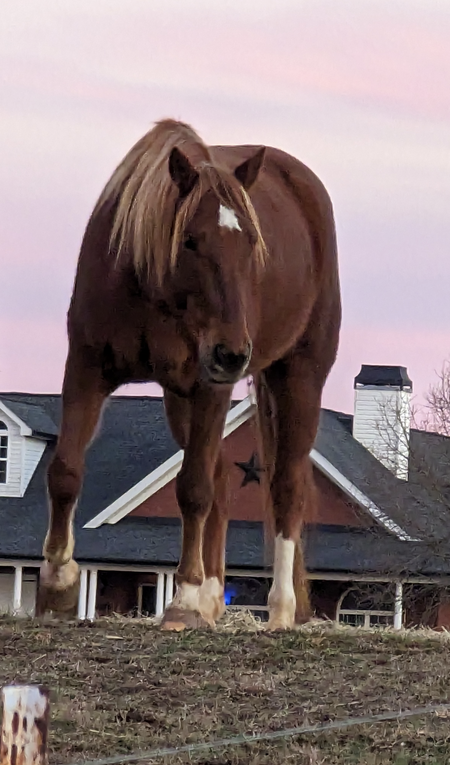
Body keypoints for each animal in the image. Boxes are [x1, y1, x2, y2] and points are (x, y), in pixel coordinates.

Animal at [37, 118, 342, 628]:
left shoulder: (209, 385)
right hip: (181, 396)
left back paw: (279, 609)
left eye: (251, 241)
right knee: (223, 479)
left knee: (285, 486)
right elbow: (64, 470)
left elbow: (194, 489)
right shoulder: (85, 366)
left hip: (298, 375)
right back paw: (213, 596)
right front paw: (57, 582)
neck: (151, 289)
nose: (234, 353)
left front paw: (182, 599)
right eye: (190, 240)